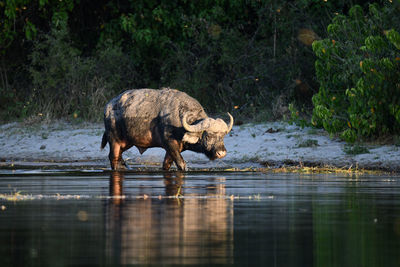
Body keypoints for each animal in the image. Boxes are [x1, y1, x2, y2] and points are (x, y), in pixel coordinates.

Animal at [101, 89, 234, 171]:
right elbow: (181, 164)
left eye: (222, 136)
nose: (221, 153)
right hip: (114, 140)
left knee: (119, 157)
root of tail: (108, 106)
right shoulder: (170, 145)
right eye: (208, 135)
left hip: (127, 142)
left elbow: (166, 165)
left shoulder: (173, 149)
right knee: (113, 158)